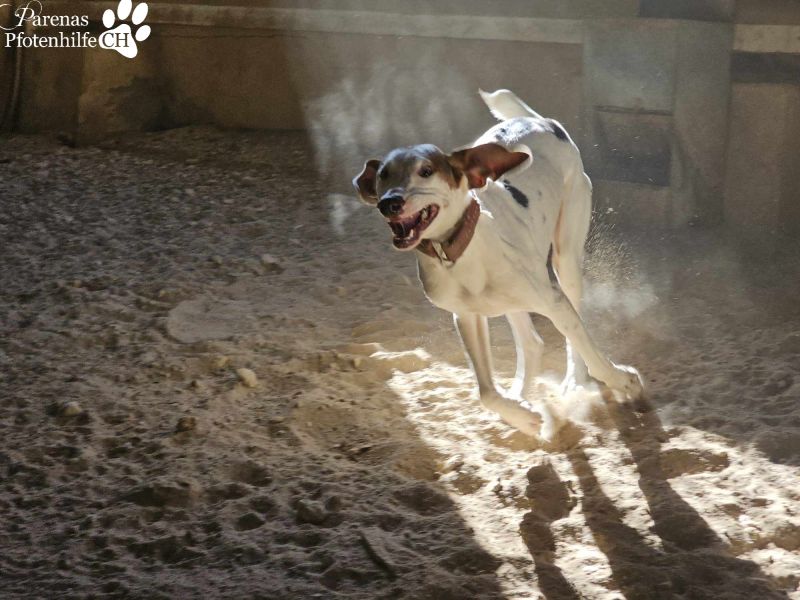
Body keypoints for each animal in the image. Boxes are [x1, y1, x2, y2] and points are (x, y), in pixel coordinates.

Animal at [353, 89, 644, 438]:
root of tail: (539, 121)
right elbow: (487, 392)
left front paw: (622, 382)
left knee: (571, 333)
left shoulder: (554, 300)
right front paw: (522, 415)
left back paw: (574, 380)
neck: (460, 254)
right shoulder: (466, 317)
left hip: (567, 257)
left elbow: (589, 349)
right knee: (531, 343)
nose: (389, 203)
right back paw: (521, 395)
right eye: (383, 174)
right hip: (510, 299)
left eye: (426, 171)